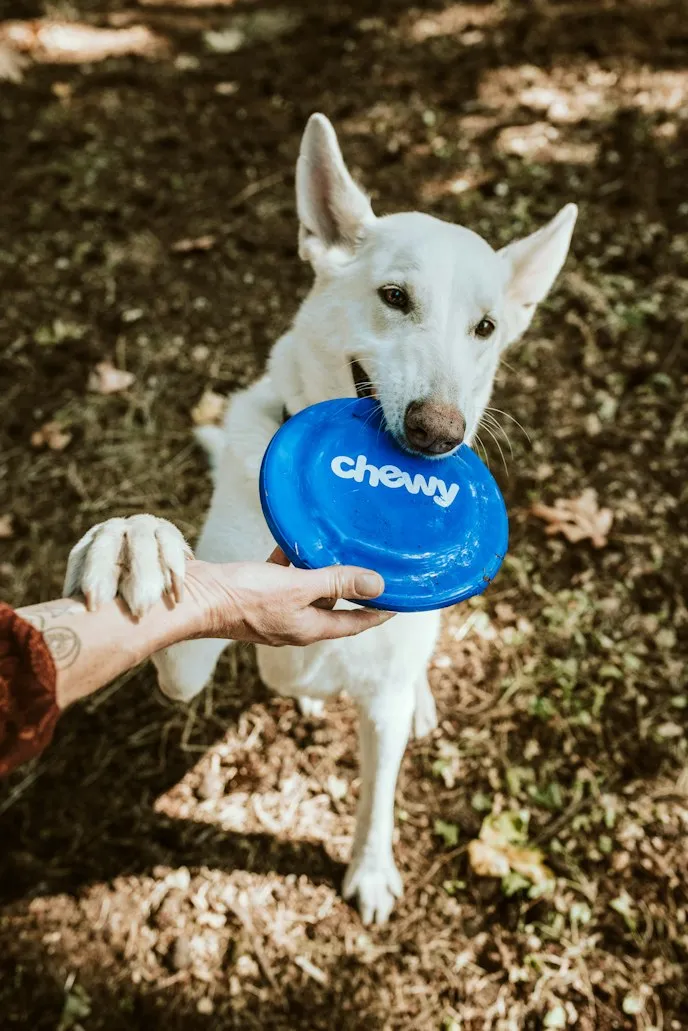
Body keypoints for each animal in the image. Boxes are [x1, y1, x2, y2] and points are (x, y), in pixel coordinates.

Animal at [67, 114, 577, 927]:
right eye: (394, 296)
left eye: (486, 327)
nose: (439, 434)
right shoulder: (210, 636)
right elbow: (178, 644)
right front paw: (133, 541)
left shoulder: (382, 701)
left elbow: (377, 796)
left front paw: (371, 871)